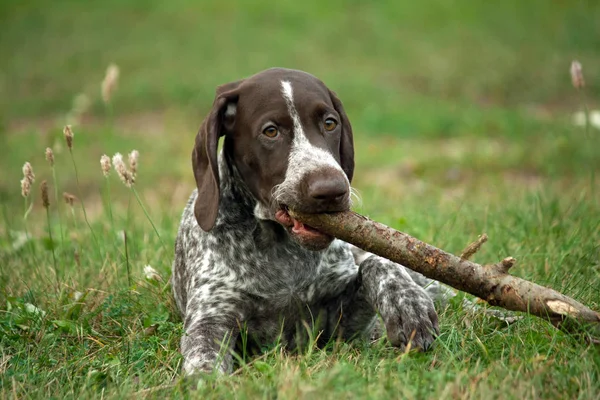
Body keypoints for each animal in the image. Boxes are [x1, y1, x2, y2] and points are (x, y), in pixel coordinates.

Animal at [171, 69, 442, 376]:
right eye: (271, 131)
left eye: (330, 123)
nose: (332, 190)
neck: (279, 248)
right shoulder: (211, 318)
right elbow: (203, 363)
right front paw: (208, 381)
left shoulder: (340, 327)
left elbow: (377, 265)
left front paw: (407, 304)